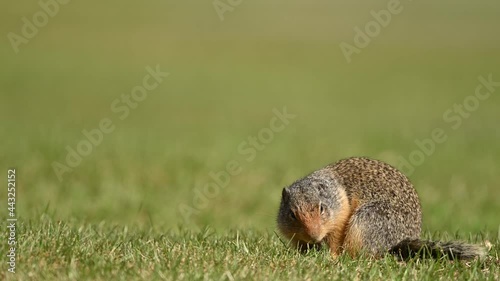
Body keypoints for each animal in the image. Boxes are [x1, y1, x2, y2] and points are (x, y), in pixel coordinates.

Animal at [278, 156, 484, 260]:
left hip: (367, 221)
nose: (314, 236)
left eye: (321, 208)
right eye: (292, 214)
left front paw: (331, 256)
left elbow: (335, 240)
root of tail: (399, 242)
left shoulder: (340, 217)